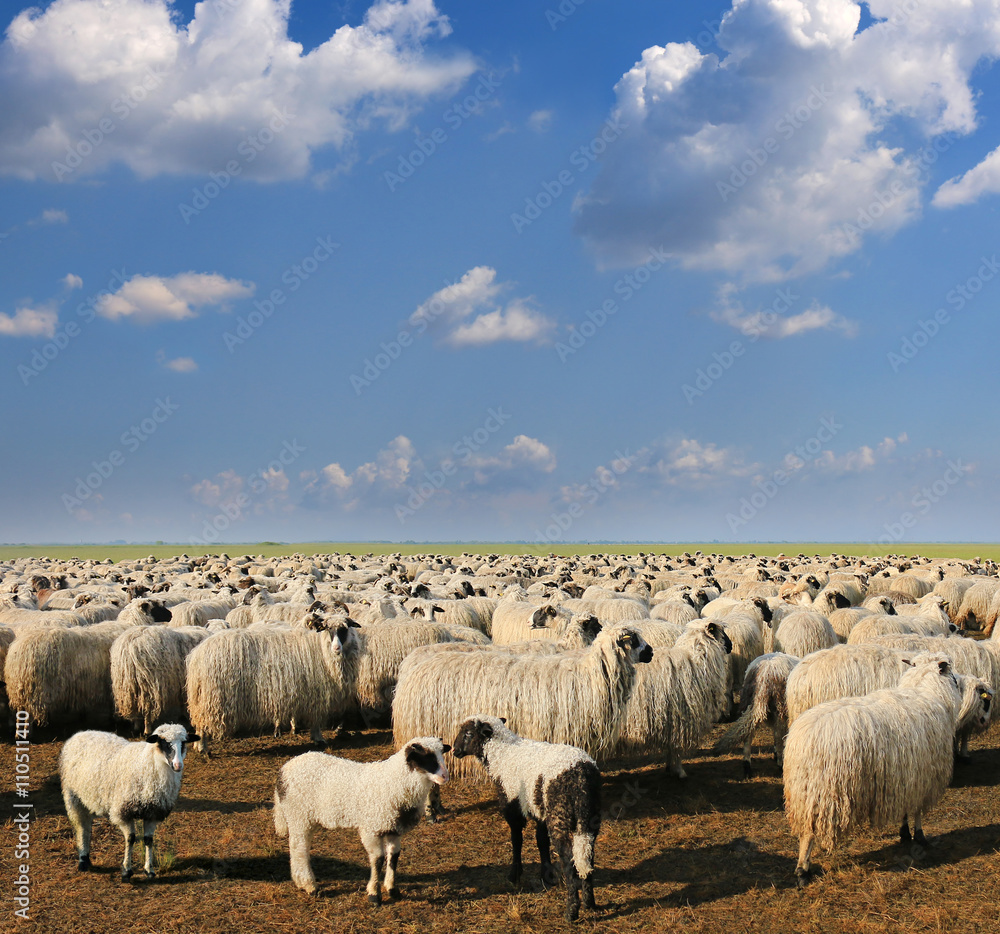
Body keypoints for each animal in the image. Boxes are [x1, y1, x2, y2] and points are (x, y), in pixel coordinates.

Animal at [59, 723, 198, 881]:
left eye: (184, 743)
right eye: (164, 743)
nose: (178, 765)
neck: (148, 765)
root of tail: (80, 733)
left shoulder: (152, 813)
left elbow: (148, 840)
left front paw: (149, 870)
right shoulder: (123, 811)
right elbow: (130, 839)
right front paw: (126, 871)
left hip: (86, 797)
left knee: (87, 826)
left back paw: (87, 858)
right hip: (72, 796)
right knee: (81, 826)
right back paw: (82, 860)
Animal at [273, 737, 450, 901]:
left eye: (442, 753)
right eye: (426, 757)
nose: (445, 776)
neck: (394, 782)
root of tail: (284, 771)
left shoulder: (394, 828)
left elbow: (393, 857)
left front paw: (392, 889)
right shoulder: (371, 828)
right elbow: (378, 859)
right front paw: (374, 894)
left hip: (305, 818)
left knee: (298, 847)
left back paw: (301, 882)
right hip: (298, 815)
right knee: (299, 848)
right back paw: (310, 886)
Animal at [452, 716, 601, 924]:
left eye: (468, 733)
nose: (455, 750)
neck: (502, 754)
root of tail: (580, 773)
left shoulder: (511, 805)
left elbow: (517, 840)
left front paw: (514, 874)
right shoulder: (540, 812)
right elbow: (541, 842)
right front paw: (546, 875)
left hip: (560, 815)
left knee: (569, 860)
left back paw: (571, 911)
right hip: (589, 817)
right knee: (587, 857)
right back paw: (590, 903)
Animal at [783, 654, 963, 885]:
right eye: (951, 671)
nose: (959, 682)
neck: (925, 690)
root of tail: (800, 740)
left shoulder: (904, 777)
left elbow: (905, 808)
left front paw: (904, 832)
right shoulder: (922, 777)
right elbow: (917, 810)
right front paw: (919, 836)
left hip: (804, 791)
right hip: (823, 792)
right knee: (808, 832)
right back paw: (803, 871)